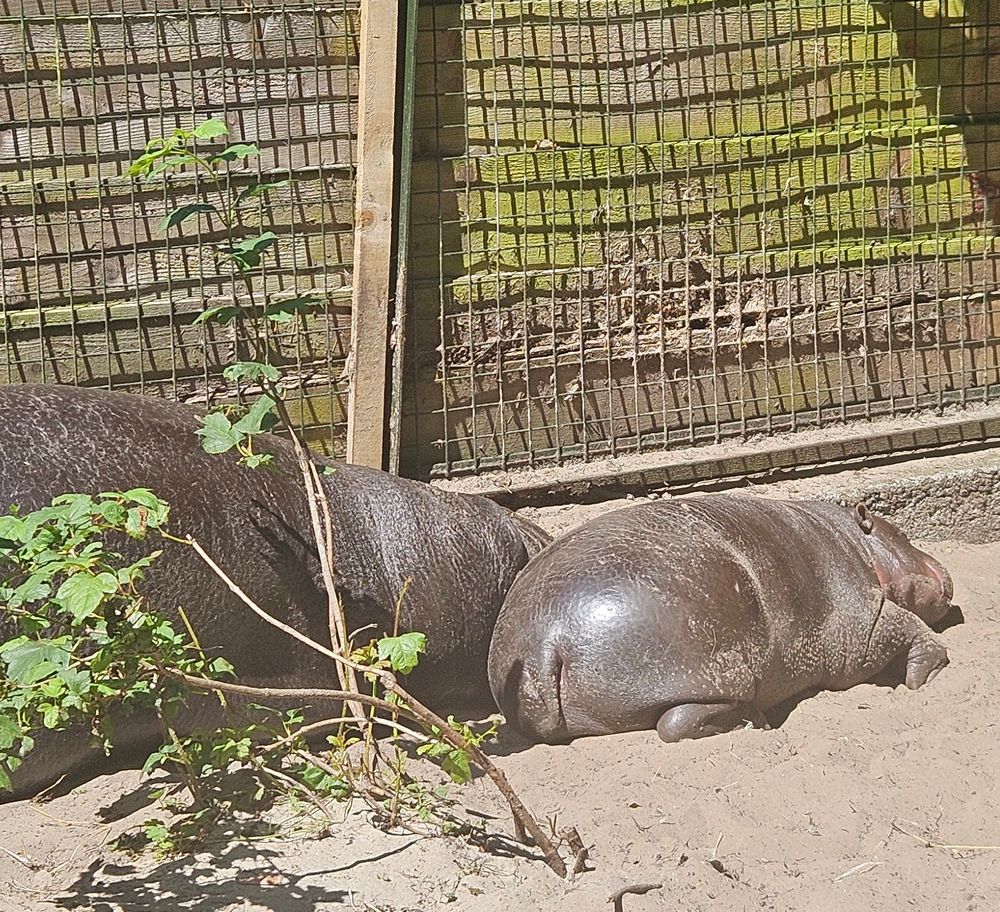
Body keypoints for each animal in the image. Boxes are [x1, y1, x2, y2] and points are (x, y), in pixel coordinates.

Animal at [488, 495, 953, 744]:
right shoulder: (862, 620)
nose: (943, 569)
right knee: (678, 722)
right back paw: (754, 722)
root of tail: (543, 636)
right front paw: (924, 676)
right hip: (711, 670)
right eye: (903, 532)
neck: (856, 543)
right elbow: (905, 627)